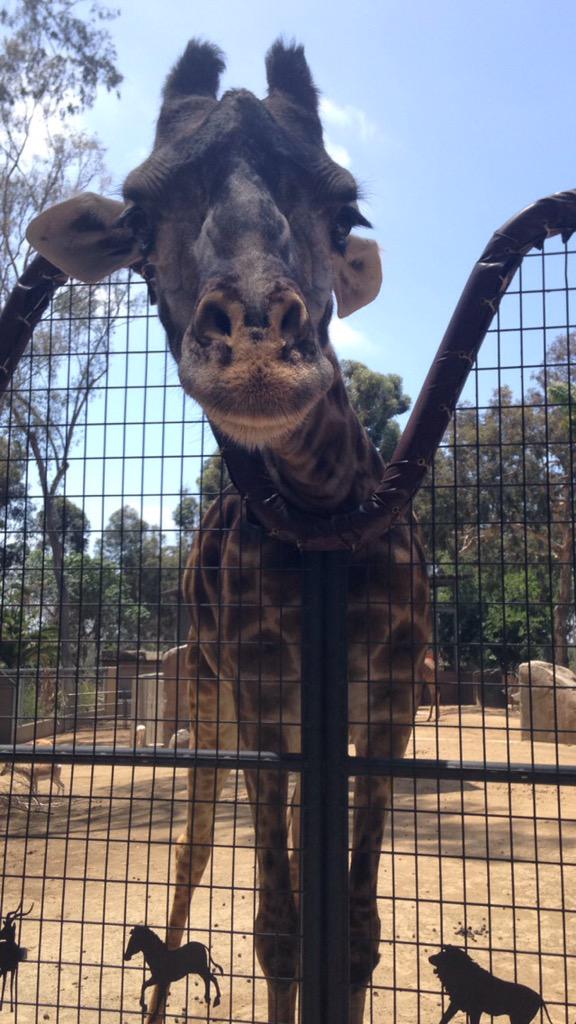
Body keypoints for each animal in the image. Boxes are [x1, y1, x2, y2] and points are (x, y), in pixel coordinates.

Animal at [26, 39, 431, 1023]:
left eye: (346, 211)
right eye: (137, 221)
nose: (254, 353)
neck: (323, 511)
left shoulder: (392, 695)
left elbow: (352, 932)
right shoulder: (258, 689)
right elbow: (279, 928)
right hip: (205, 698)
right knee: (197, 854)